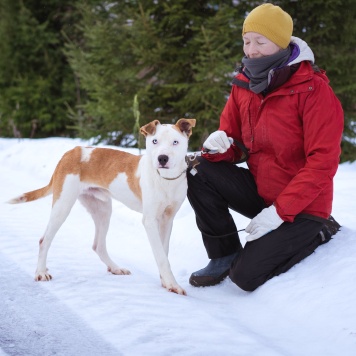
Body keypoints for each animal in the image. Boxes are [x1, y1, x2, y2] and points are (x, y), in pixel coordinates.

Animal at [8, 119, 196, 294]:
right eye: (155, 141)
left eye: (175, 142)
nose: (162, 158)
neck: (166, 179)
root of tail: (71, 152)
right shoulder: (150, 221)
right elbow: (161, 257)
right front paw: (173, 284)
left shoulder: (167, 220)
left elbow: (164, 252)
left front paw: (166, 282)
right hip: (63, 205)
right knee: (44, 240)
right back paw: (41, 272)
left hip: (102, 209)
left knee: (98, 245)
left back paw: (115, 268)